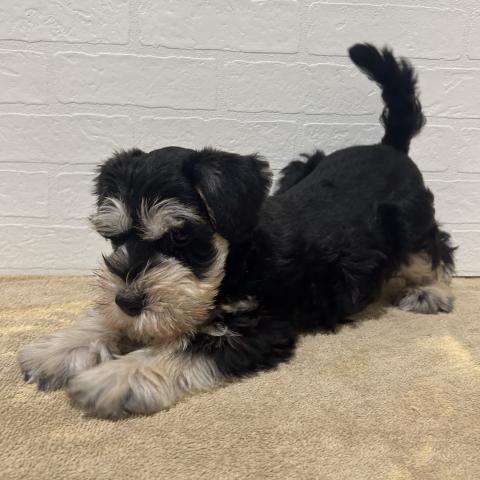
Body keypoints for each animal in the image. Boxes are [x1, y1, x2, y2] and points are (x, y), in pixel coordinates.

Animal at [18, 44, 455, 419]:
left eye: (180, 236)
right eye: (116, 236)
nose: (127, 301)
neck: (238, 260)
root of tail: (391, 148)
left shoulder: (254, 328)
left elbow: (182, 347)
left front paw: (111, 378)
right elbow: (107, 320)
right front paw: (56, 351)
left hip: (408, 223)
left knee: (434, 249)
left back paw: (430, 292)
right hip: (299, 167)